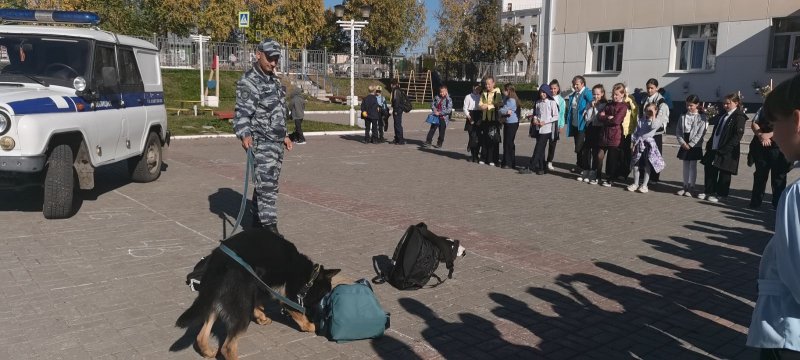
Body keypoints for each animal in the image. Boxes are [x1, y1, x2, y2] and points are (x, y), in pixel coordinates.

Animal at [177, 229, 340, 358]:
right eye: (322, 297)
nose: (317, 316)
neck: (309, 277)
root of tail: (216, 264)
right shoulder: (288, 294)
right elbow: (296, 311)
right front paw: (310, 325)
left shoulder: (258, 284)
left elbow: (258, 302)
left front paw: (261, 317)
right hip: (241, 307)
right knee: (227, 347)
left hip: (217, 299)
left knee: (201, 336)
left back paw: (208, 352)